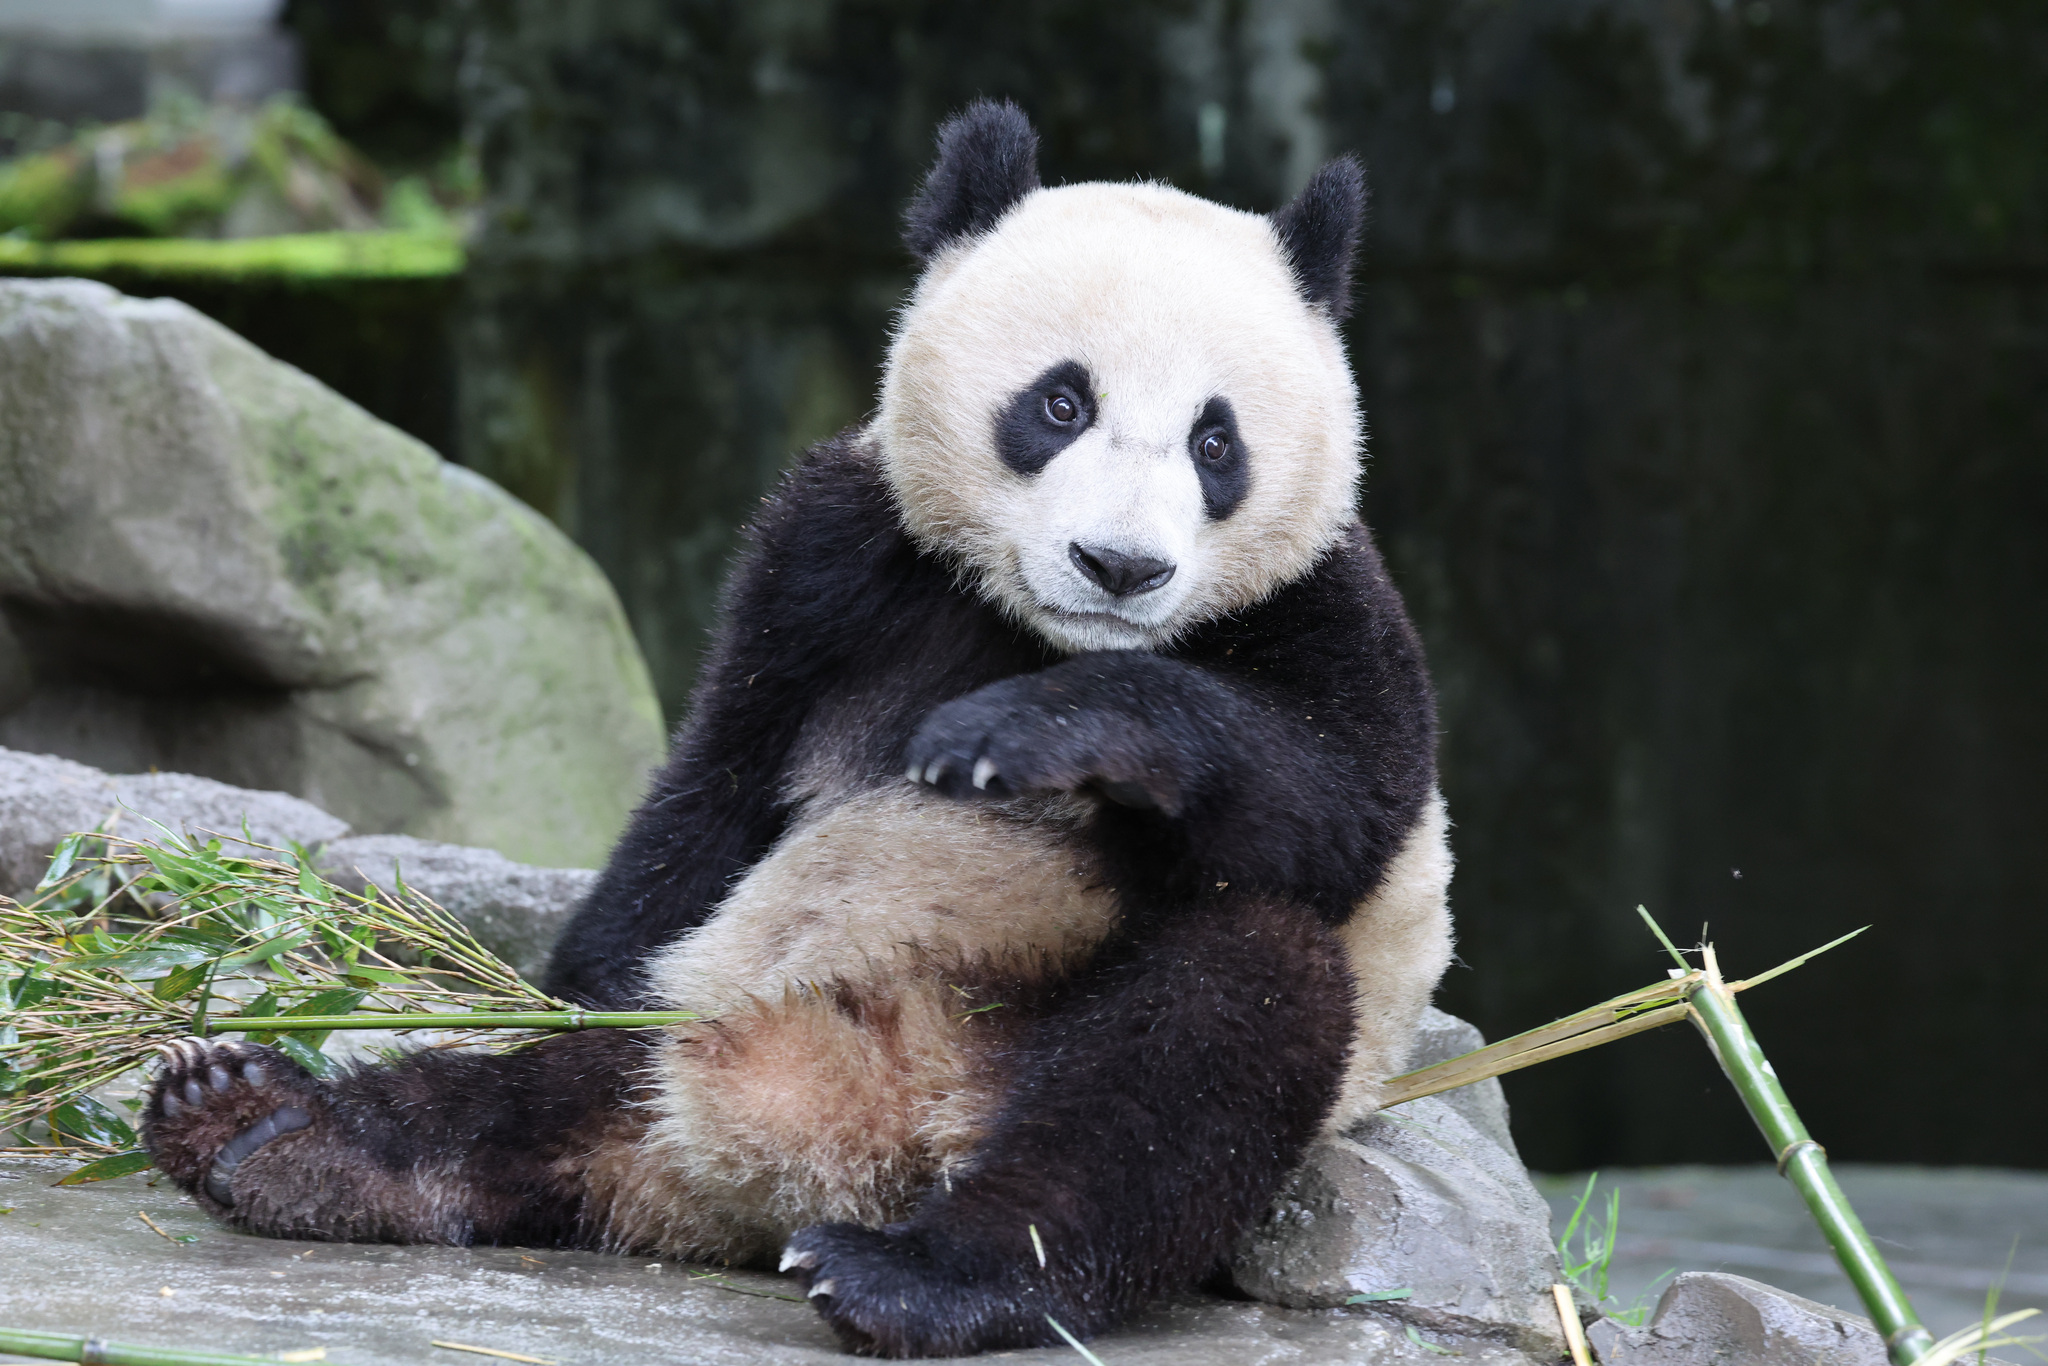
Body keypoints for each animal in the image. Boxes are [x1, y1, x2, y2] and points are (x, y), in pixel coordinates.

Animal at [142, 100, 1453, 1359]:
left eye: (1213, 441)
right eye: (1059, 401)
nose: (1120, 567)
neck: (1038, 628)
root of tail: (827, 1133)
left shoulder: (1332, 606)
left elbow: (1332, 805)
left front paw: (1021, 735)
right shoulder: (827, 566)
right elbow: (711, 792)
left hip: (1044, 1034)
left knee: (1206, 1040)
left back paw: (922, 1278)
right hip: (690, 1016)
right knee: (536, 1083)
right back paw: (274, 1129)